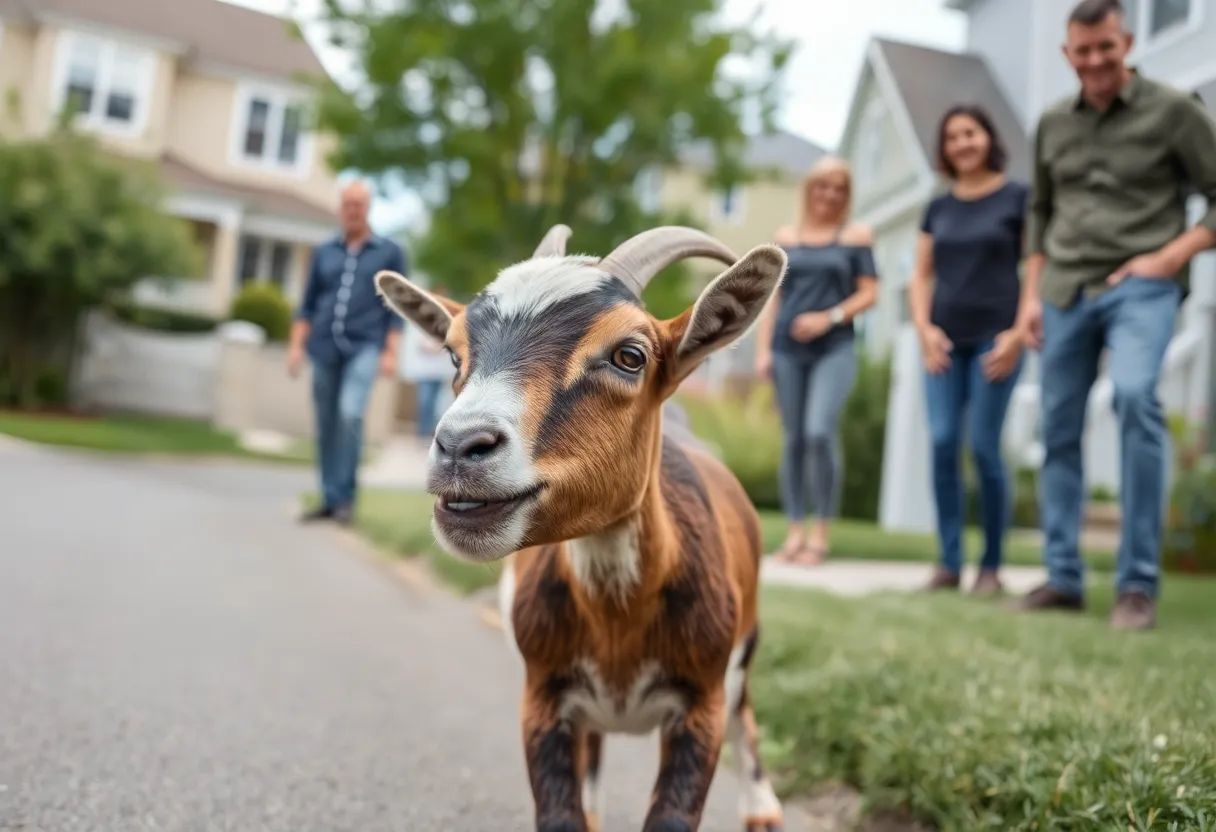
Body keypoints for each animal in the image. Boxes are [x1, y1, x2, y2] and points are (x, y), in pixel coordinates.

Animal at [373, 224, 789, 832]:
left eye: (630, 355)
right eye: (452, 354)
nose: (459, 445)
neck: (618, 622)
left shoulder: (702, 703)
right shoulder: (542, 699)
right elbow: (562, 813)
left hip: (747, 643)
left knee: (748, 709)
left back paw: (762, 808)